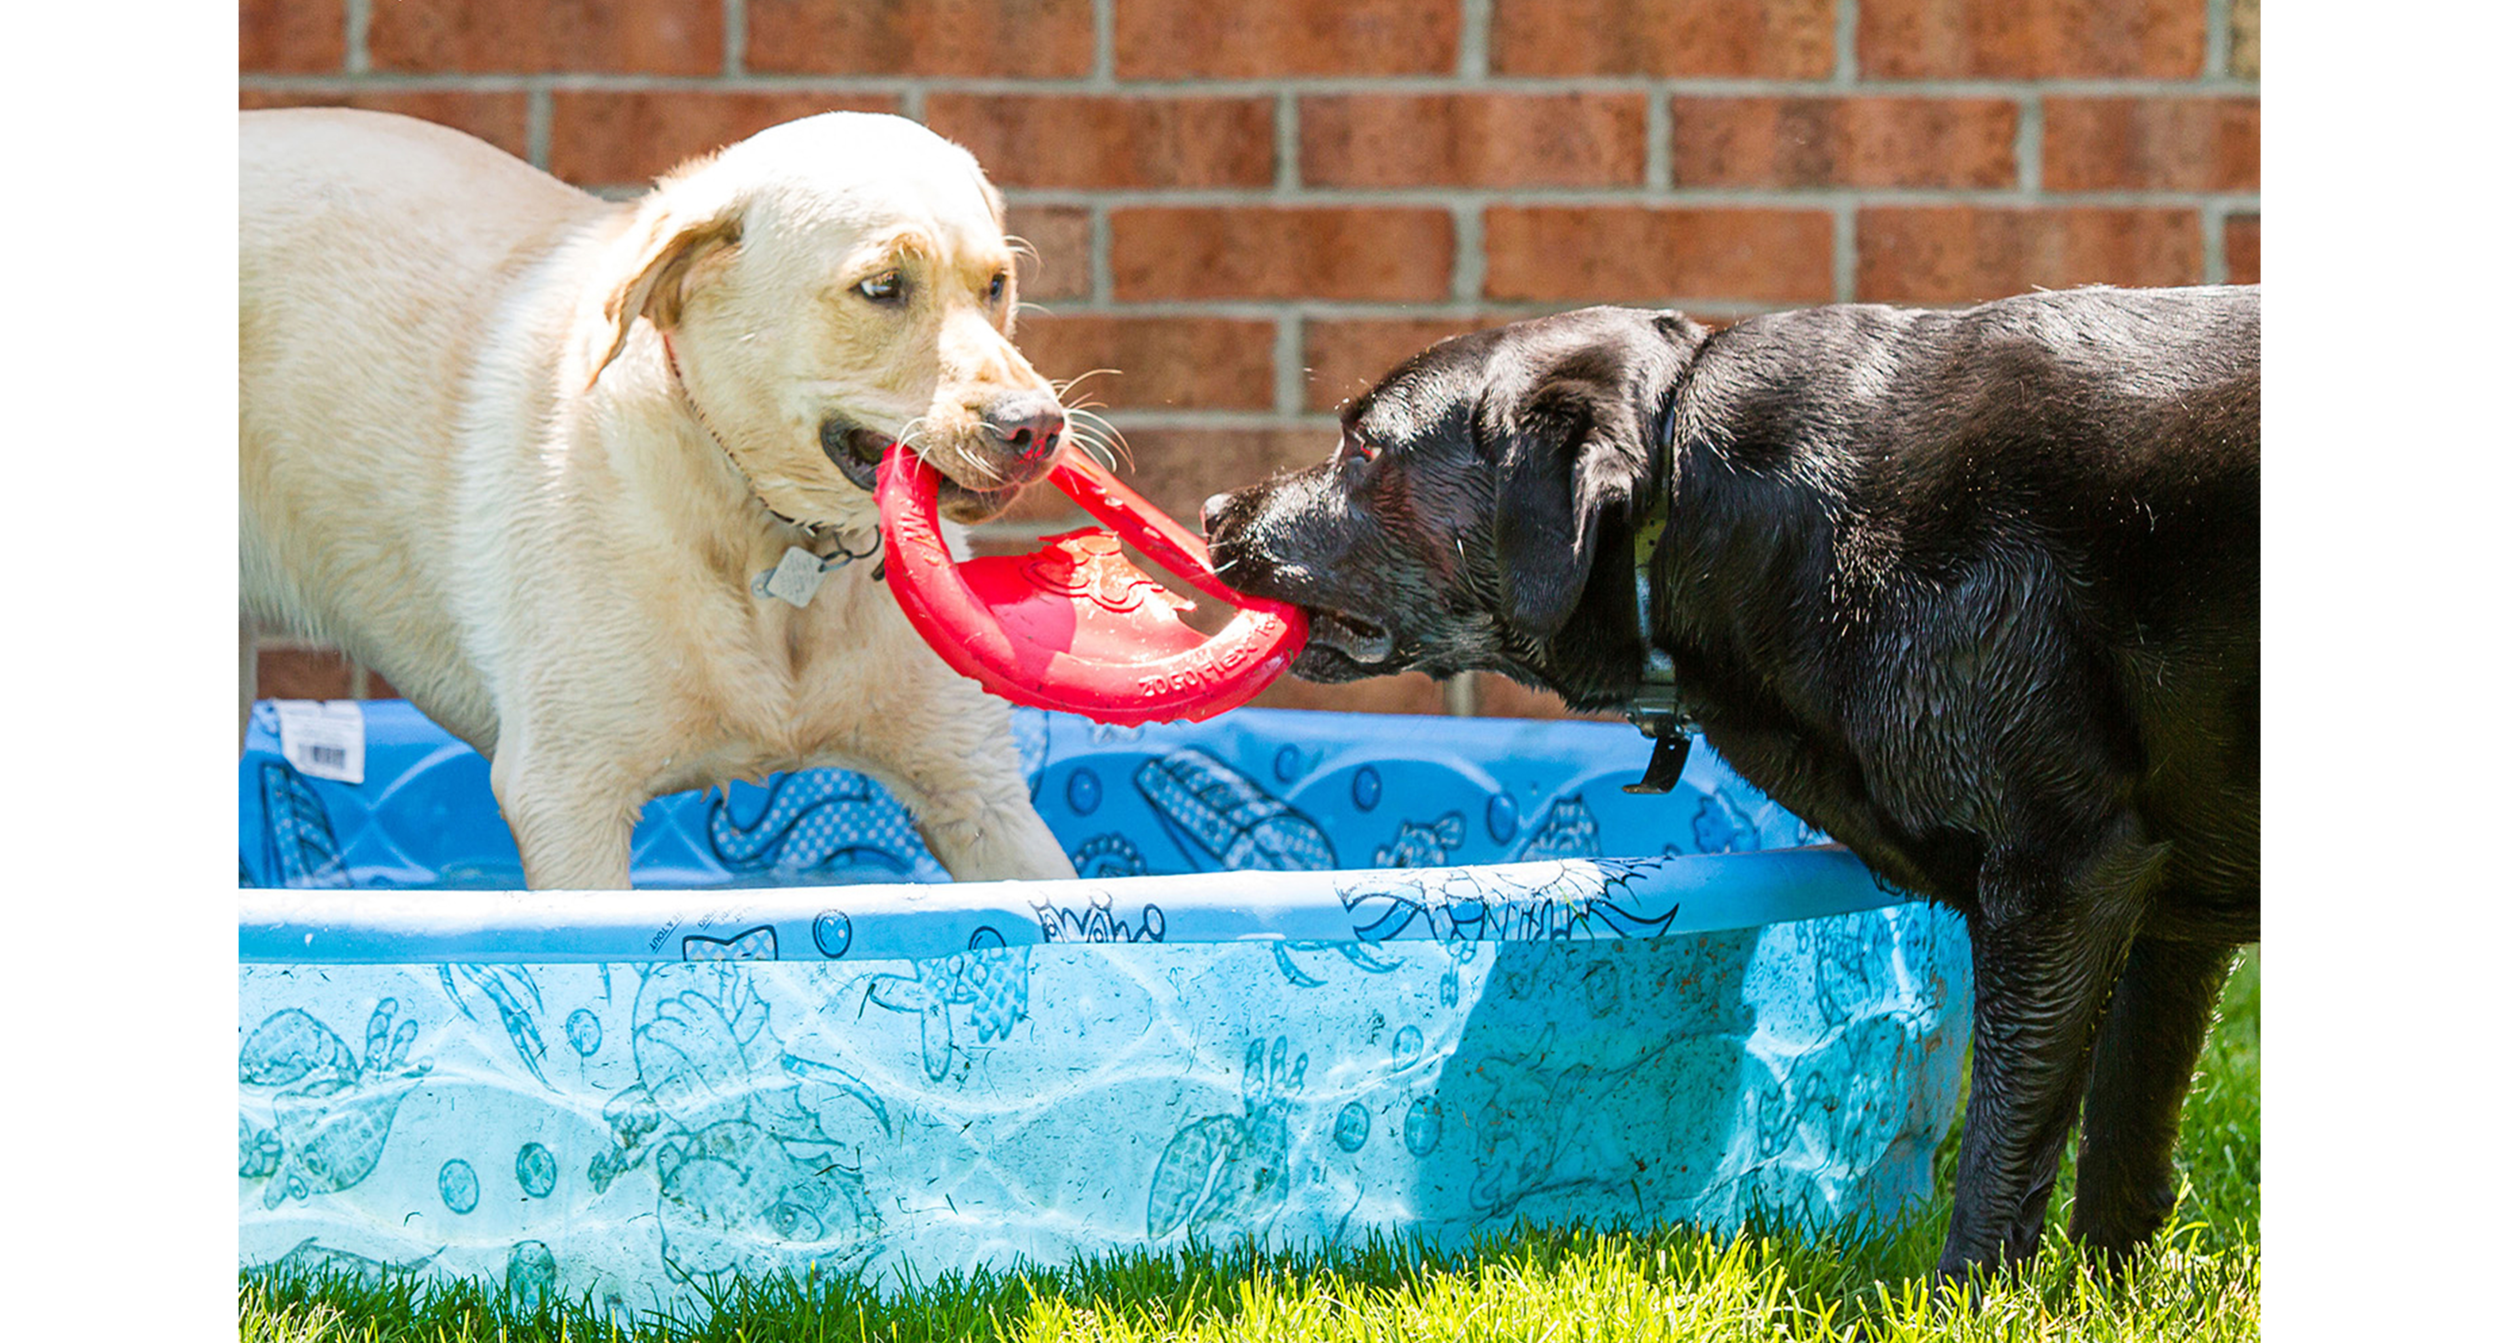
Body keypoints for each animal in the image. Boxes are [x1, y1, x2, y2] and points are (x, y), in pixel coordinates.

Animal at [236, 110, 1085, 890]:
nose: (1035, 426)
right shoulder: (566, 800)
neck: (776, 537)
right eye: (881, 288)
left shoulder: (980, 793)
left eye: (997, 285)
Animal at [1200, 285, 2260, 1275]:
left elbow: (2005, 1156)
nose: (1215, 512)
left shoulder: (2060, 873)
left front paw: (1971, 1299)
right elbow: (2124, 1144)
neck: (1694, 484)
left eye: (1362, 448)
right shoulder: (2161, 913)